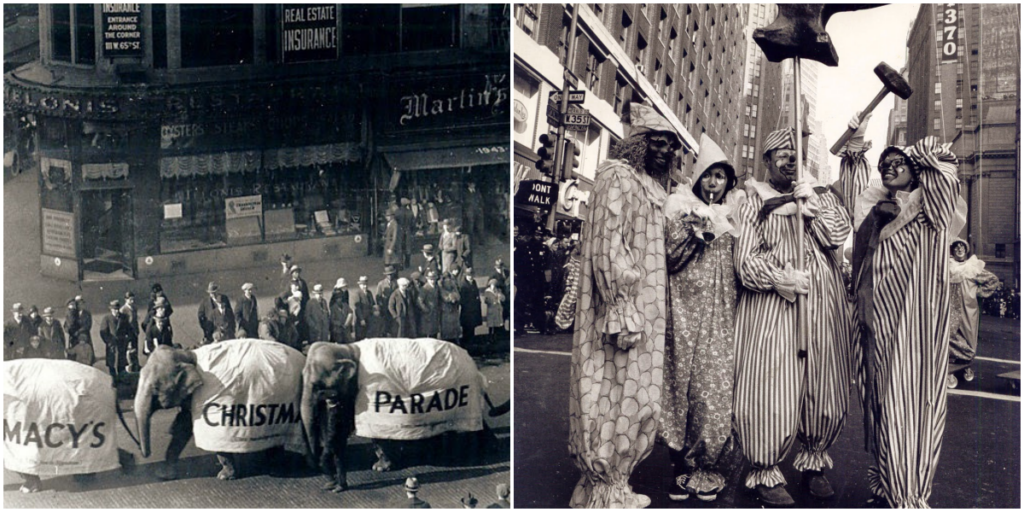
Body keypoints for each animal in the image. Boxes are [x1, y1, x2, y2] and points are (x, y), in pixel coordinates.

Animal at [135, 339, 303, 479]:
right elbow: (182, 426)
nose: (144, 454)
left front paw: (224, 477)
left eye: (155, 388)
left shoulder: (212, 396)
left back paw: (275, 469)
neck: (187, 354)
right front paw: (164, 475)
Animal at [299, 339, 501, 491]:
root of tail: (474, 364)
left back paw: (486, 450)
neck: (347, 348)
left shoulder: (373, 391)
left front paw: (380, 468)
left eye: (317, 386)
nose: (330, 485)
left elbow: (375, 430)